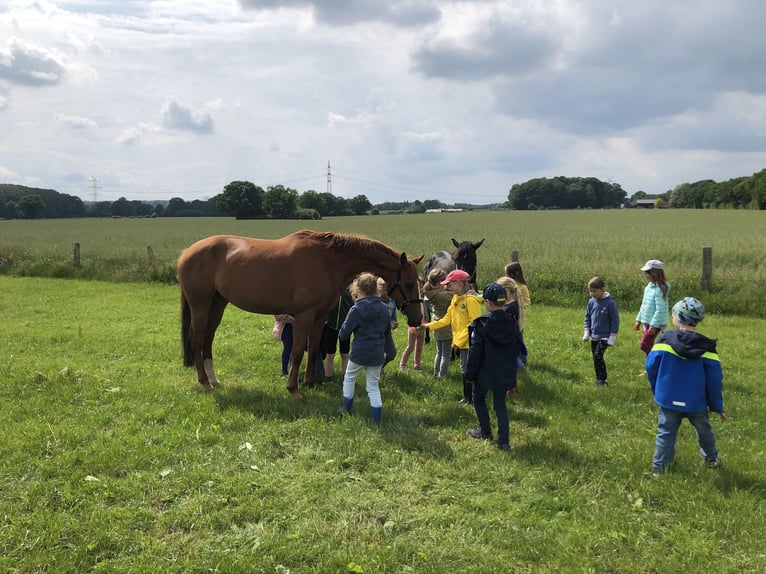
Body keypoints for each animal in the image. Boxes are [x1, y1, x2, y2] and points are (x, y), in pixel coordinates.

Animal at [177, 228, 424, 396]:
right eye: (409, 283)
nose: (417, 318)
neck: (327, 261)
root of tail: (186, 252)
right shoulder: (304, 315)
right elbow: (297, 351)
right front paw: (293, 388)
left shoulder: (319, 316)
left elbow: (313, 349)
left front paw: (310, 383)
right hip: (200, 306)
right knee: (197, 340)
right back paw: (205, 383)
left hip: (217, 304)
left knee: (207, 340)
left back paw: (214, 379)